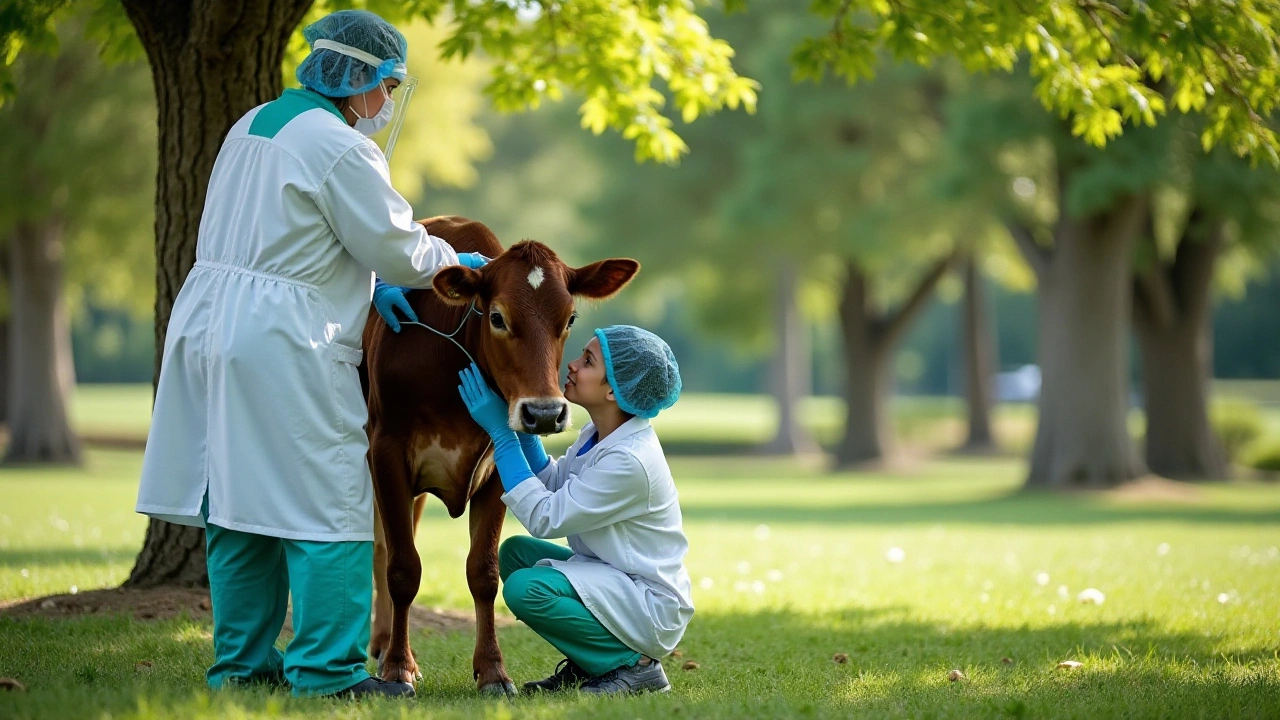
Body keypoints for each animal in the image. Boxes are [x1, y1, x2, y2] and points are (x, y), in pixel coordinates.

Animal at [360, 215, 640, 691]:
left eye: (570, 317)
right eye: (497, 317)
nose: (543, 413)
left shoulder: (496, 470)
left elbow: (483, 572)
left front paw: (492, 670)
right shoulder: (388, 450)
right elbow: (403, 568)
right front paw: (398, 668)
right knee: (381, 550)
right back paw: (388, 651)